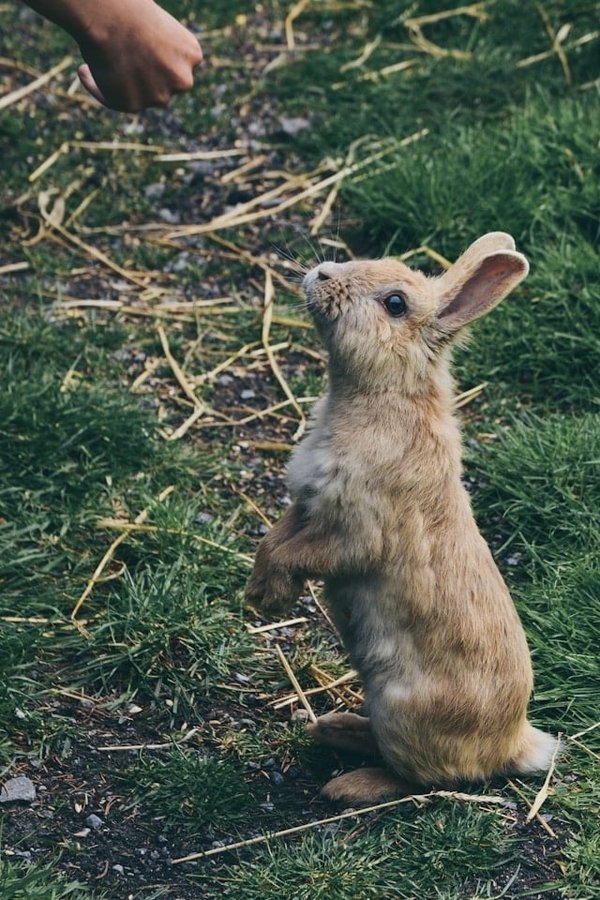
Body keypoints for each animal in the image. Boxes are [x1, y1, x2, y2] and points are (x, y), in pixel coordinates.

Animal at [245, 232, 558, 804]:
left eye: (395, 304)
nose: (322, 273)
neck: (382, 395)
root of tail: (516, 744)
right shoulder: (306, 505)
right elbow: (273, 541)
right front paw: (259, 594)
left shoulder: (354, 531)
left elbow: (300, 553)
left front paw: (271, 598)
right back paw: (332, 727)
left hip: (401, 710)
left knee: (421, 777)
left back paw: (347, 784)